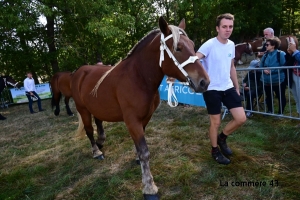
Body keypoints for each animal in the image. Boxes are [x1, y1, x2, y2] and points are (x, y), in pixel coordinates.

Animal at [71, 16, 210, 198]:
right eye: (178, 48)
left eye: (193, 46)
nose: (204, 82)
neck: (138, 77)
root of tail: (79, 72)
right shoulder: (132, 121)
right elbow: (144, 151)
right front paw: (149, 187)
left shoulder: (145, 117)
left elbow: (140, 147)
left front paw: (137, 159)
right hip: (83, 109)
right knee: (88, 130)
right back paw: (96, 152)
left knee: (99, 123)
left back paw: (101, 142)